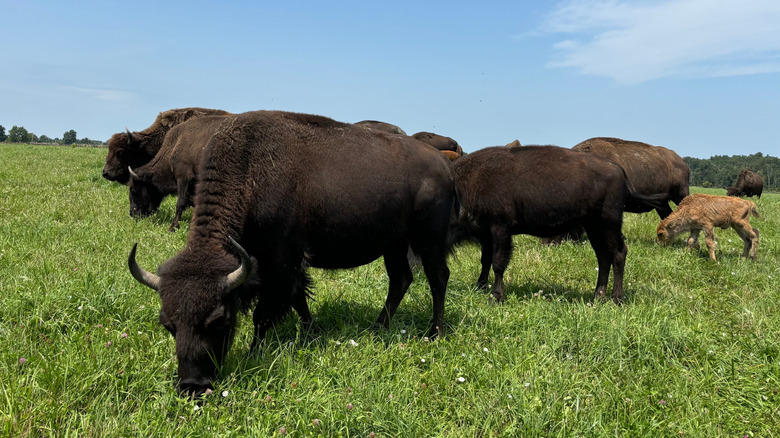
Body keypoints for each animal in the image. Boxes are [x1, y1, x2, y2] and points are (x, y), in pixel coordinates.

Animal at [128, 110, 457, 397]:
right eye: (167, 324)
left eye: (220, 320)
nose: (192, 386)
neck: (250, 172)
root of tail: (444, 165)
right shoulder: (284, 265)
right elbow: (299, 298)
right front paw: (311, 333)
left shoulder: (280, 261)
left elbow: (265, 312)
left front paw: (255, 352)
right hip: (394, 245)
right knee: (400, 280)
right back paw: (378, 328)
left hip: (428, 240)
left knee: (438, 278)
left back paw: (434, 333)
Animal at [452, 145, 666, 304]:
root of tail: (619, 170)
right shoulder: (487, 234)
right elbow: (485, 260)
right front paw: (480, 286)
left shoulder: (500, 229)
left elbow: (497, 263)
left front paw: (495, 297)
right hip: (594, 227)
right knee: (604, 257)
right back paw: (597, 297)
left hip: (609, 224)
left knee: (619, 253)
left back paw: (616, 299)